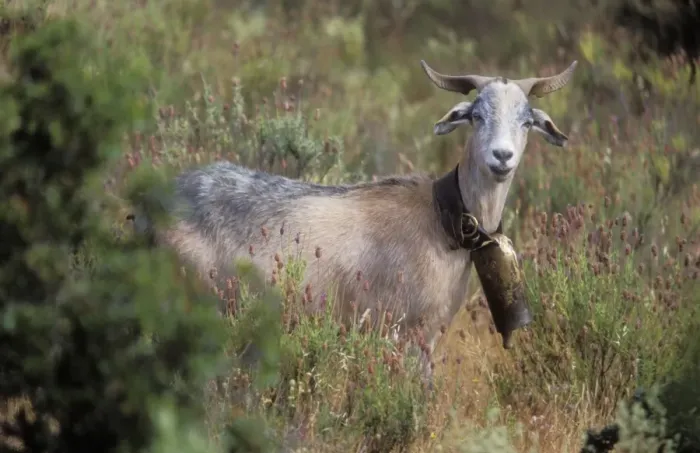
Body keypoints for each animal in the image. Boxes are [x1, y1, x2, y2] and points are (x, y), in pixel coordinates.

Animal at [134, 59, 578, 369]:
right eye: (477, 115)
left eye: (527, 122)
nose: (501, 157)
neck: (442, 219)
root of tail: (148, 209)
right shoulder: (405, 332)